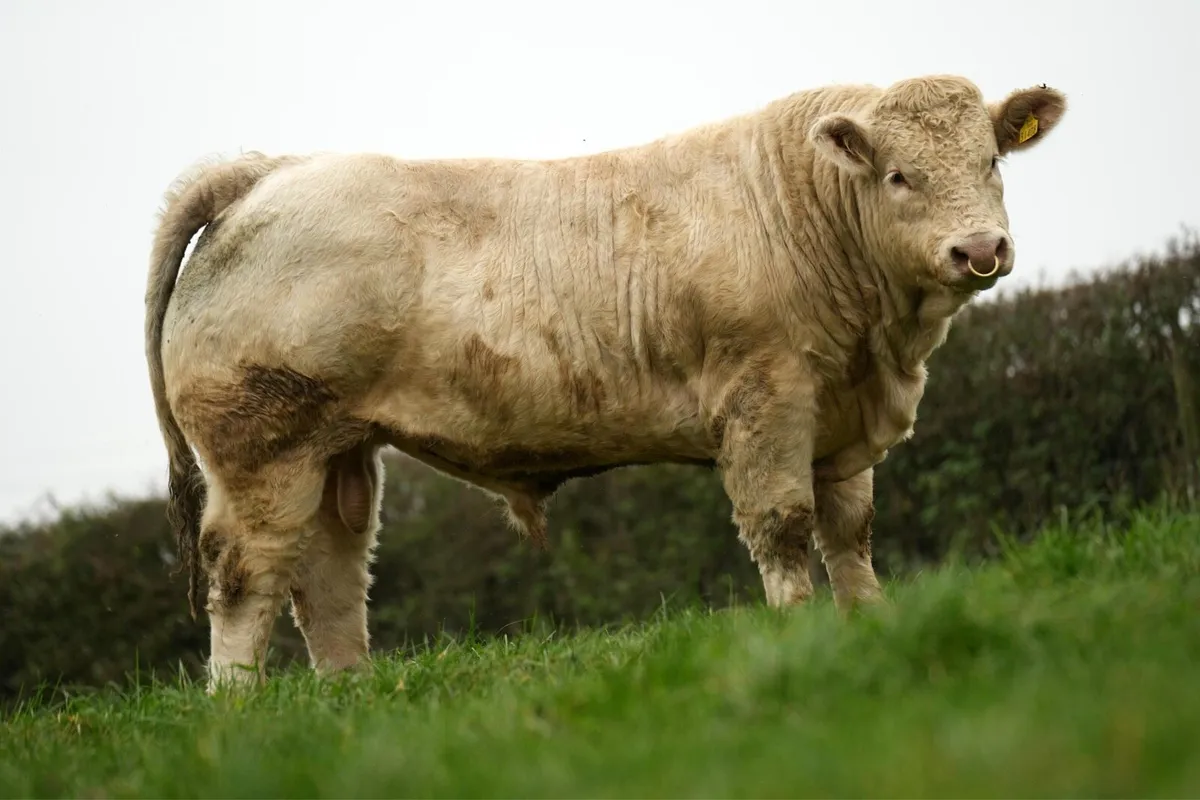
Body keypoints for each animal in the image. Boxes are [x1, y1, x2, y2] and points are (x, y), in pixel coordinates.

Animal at [144, 74, 1066, 691]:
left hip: (338, 451)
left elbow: (851, 532)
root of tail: (270, 169)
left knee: (331, 576)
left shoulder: (840, 421)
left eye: (992, 159)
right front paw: (798, 634)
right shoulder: (765, 399)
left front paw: (868, 626)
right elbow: (784, 527)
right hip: (263, 450)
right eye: (899, 175)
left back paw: (350, 696)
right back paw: (239, 712)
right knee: (247, 575)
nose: (979, 248)